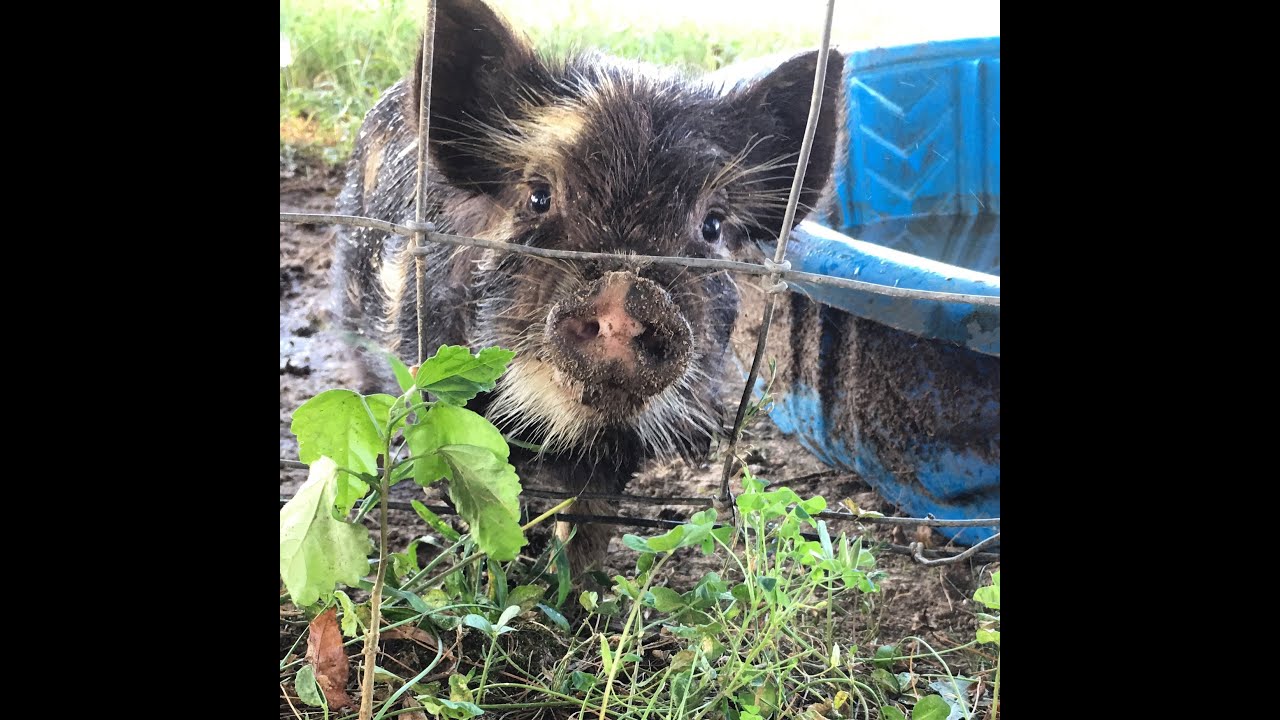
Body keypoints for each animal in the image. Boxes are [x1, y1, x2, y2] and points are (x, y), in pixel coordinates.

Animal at [331, 0, 842, 577]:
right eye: (538, 196)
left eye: (712, 225)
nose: (625, 285)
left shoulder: (615, 452)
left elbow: (590, 517)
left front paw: (574, 582)